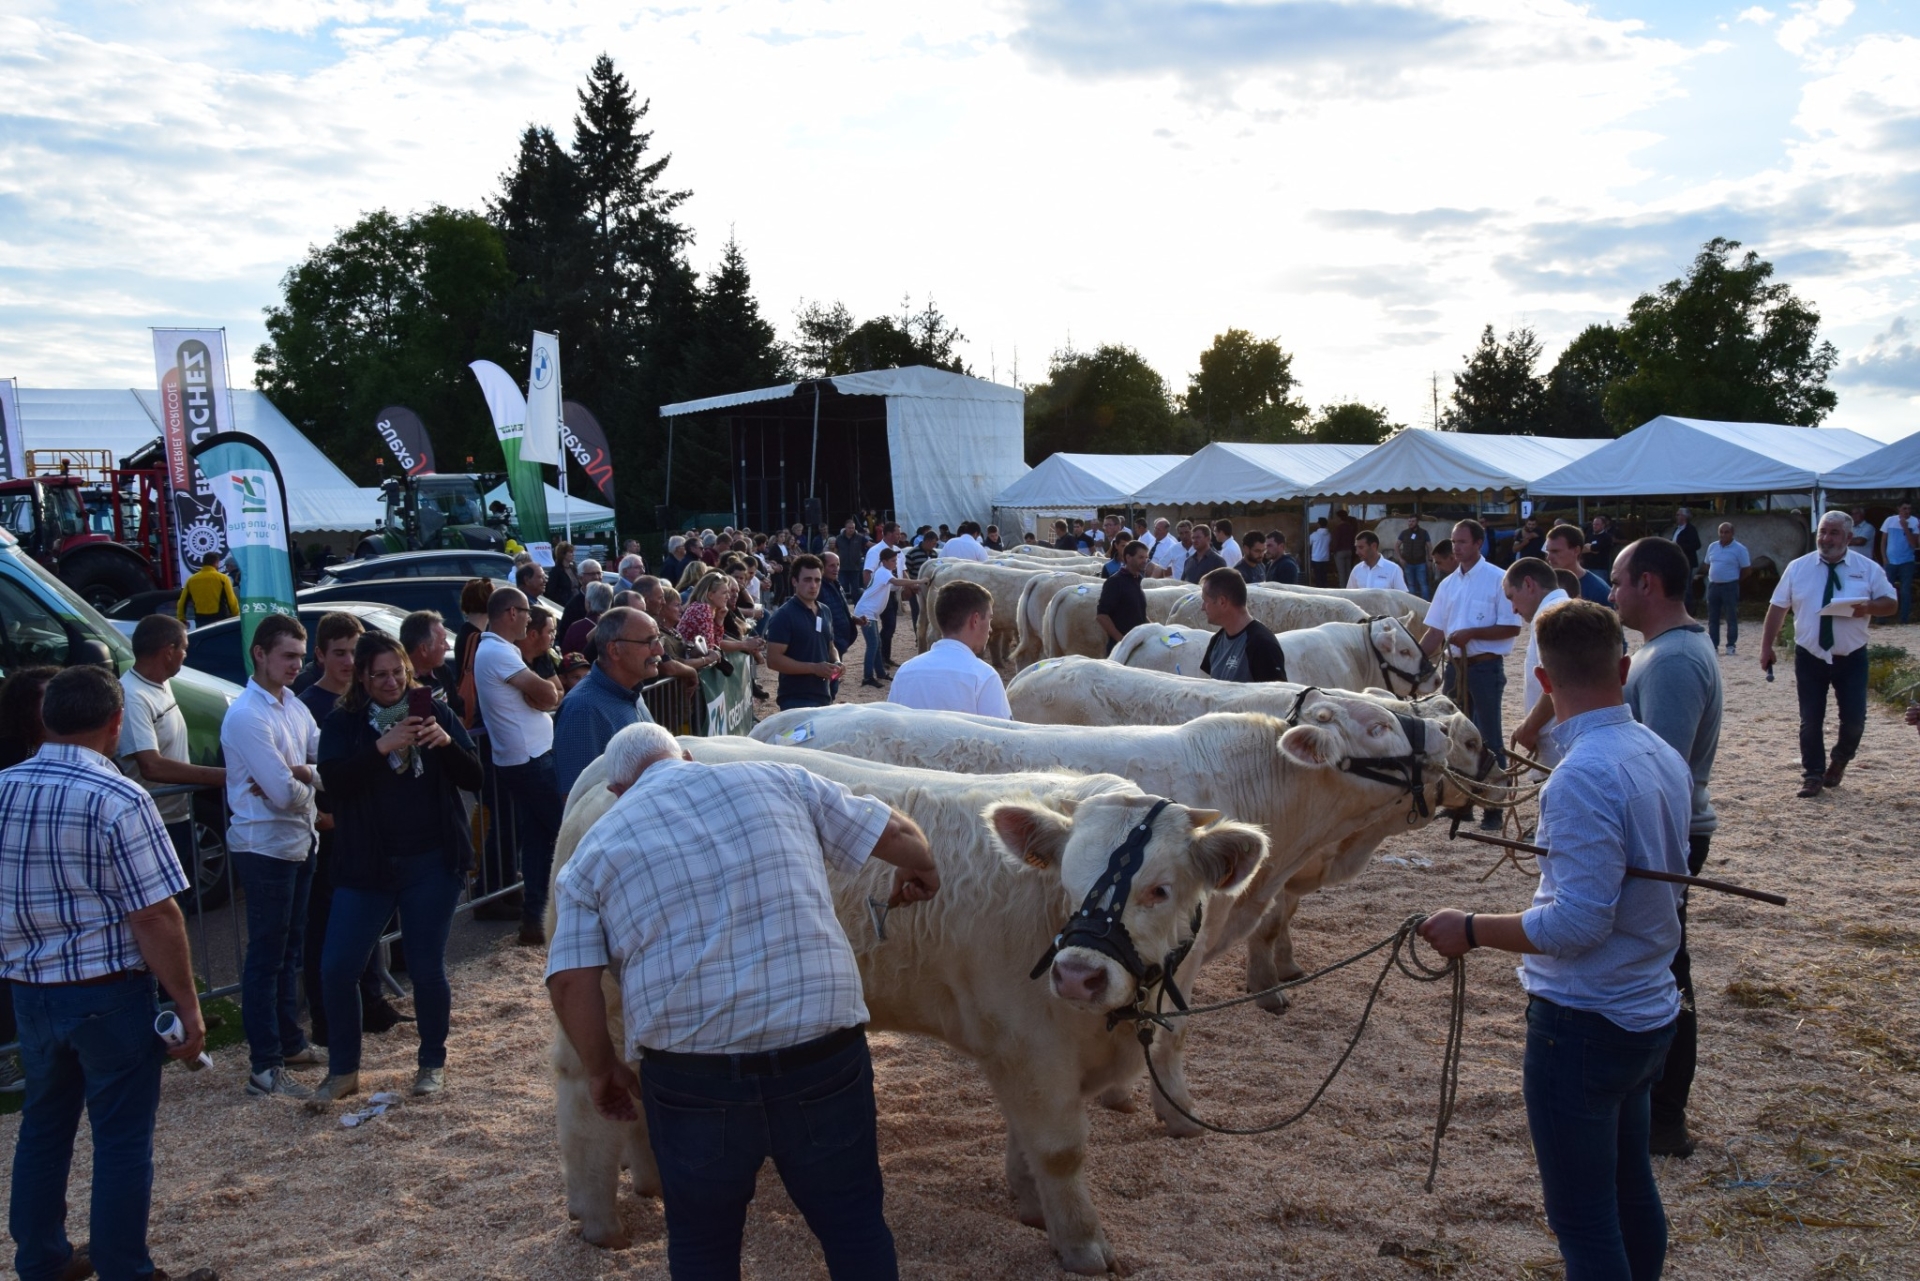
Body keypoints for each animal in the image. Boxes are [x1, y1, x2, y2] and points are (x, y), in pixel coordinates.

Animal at [549, 737, 1267, 1275]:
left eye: (1159, 889)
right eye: (1070, 882)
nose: (1078, 975)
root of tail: (608, 776)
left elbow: (1026, 1140)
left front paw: (1031, 1206)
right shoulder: (1030, 1045)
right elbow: (1060, 1148)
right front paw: (1083, 1245)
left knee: (637, 1088)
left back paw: (652, 1182)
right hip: (603, 997)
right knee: (587, 1094)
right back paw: (600, 1219)